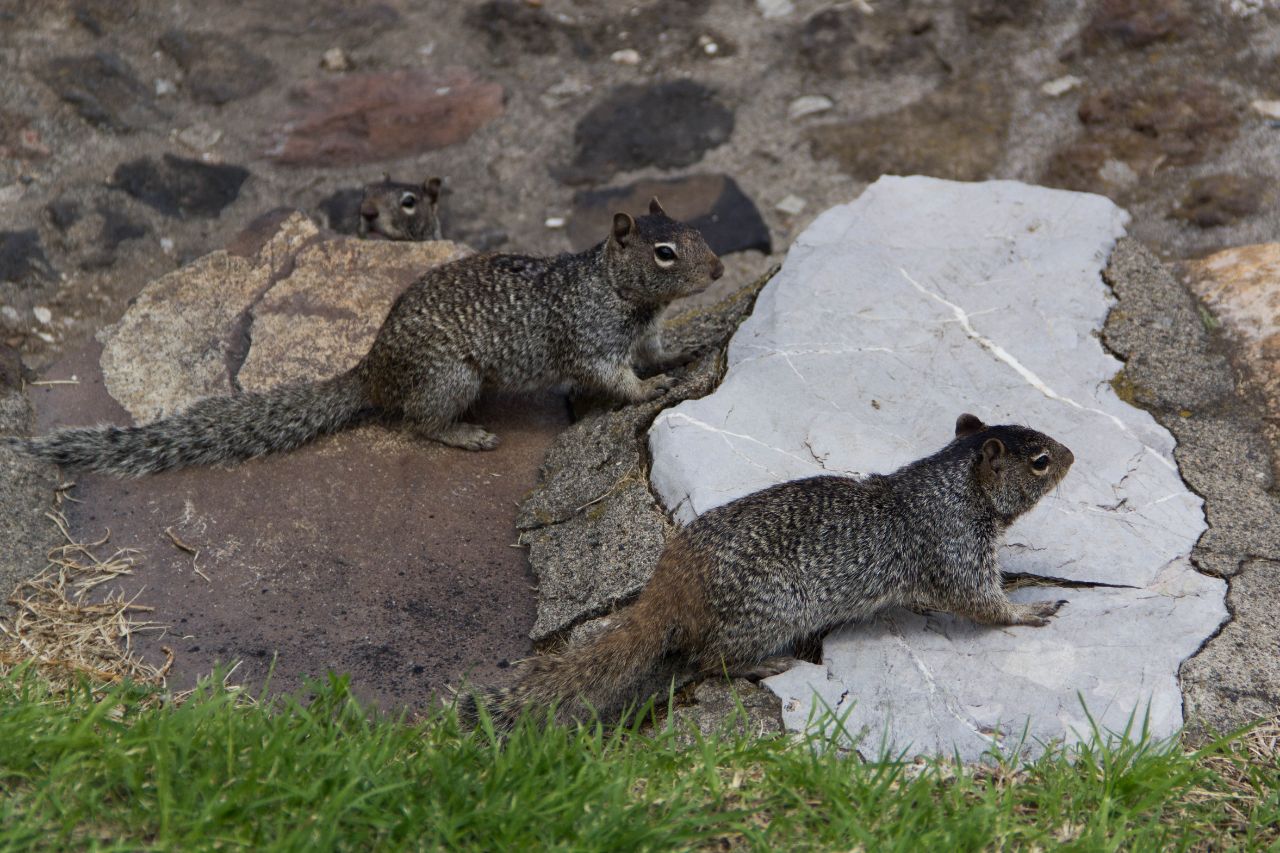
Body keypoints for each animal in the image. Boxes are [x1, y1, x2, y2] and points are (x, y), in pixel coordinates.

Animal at [10, 201, 721, 479]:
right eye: (664, 252)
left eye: (695, 232)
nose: (718, 271)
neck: (621, 292)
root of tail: (370, 369)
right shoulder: (591, 339)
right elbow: (614, 379)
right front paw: (652, 389)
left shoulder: (643, 333)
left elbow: (659, 350)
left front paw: (690, 349)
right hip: (452, 377)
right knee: (415, 422)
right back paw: (467, 434)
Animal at [465, 412, 1075, 722]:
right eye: (1041, 460)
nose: (1073, 455)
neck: (952, 485)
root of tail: (668, 591)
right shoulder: (955, 548)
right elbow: (981, 602)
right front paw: (1032, 610)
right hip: (769, 615)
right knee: (708, 661)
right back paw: (768, 665)